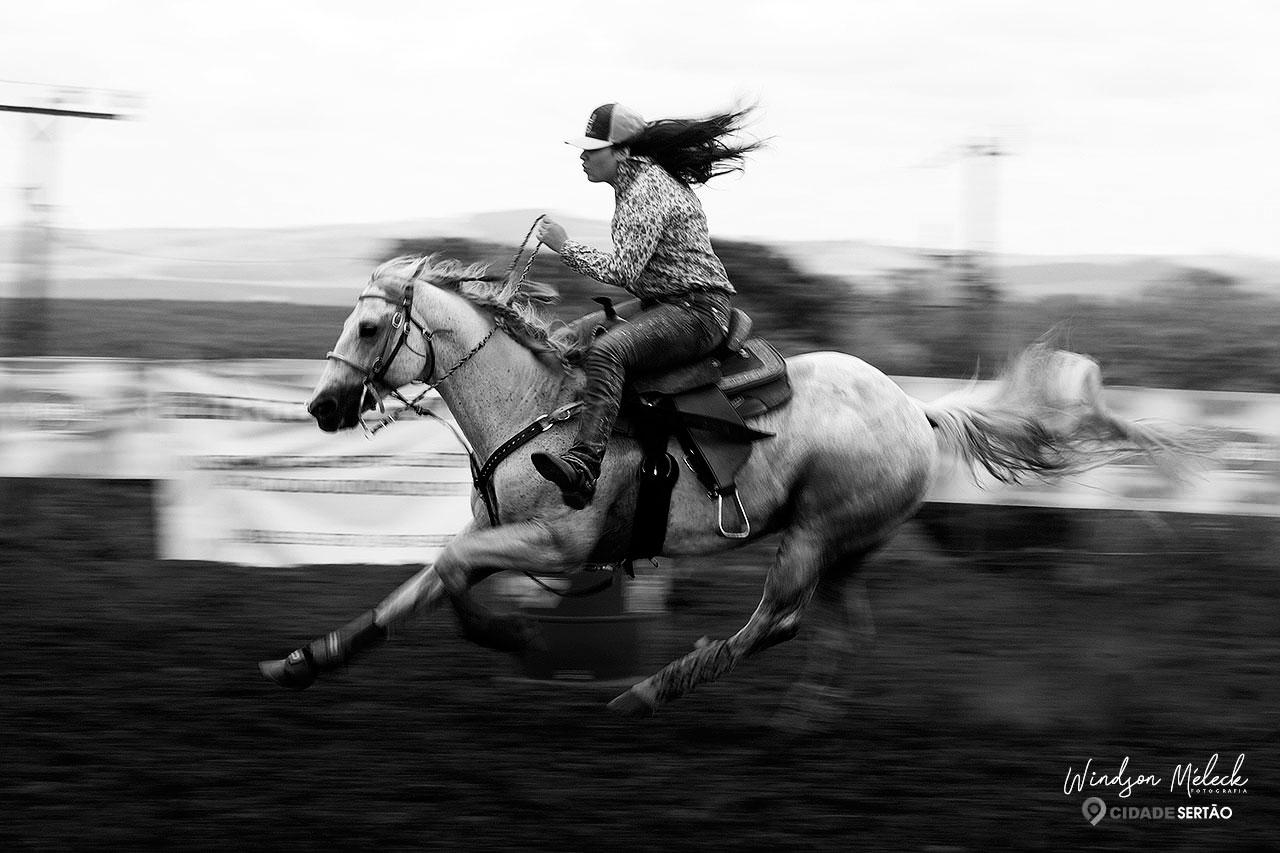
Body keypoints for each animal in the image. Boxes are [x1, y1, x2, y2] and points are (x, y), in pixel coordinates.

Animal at [259, 253, 1189, 717]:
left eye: (369, 325)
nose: (323, 405)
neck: (536, 406)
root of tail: (915, 410)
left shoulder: (557, 543)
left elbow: (451, 575)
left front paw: (515, 638)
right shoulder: (499, 535)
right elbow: (419, 584)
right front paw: (308, 658)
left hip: (813, 536)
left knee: (776, 620)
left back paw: (652, 690)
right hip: (850, 547)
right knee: (844, 629)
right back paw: (802, 721)